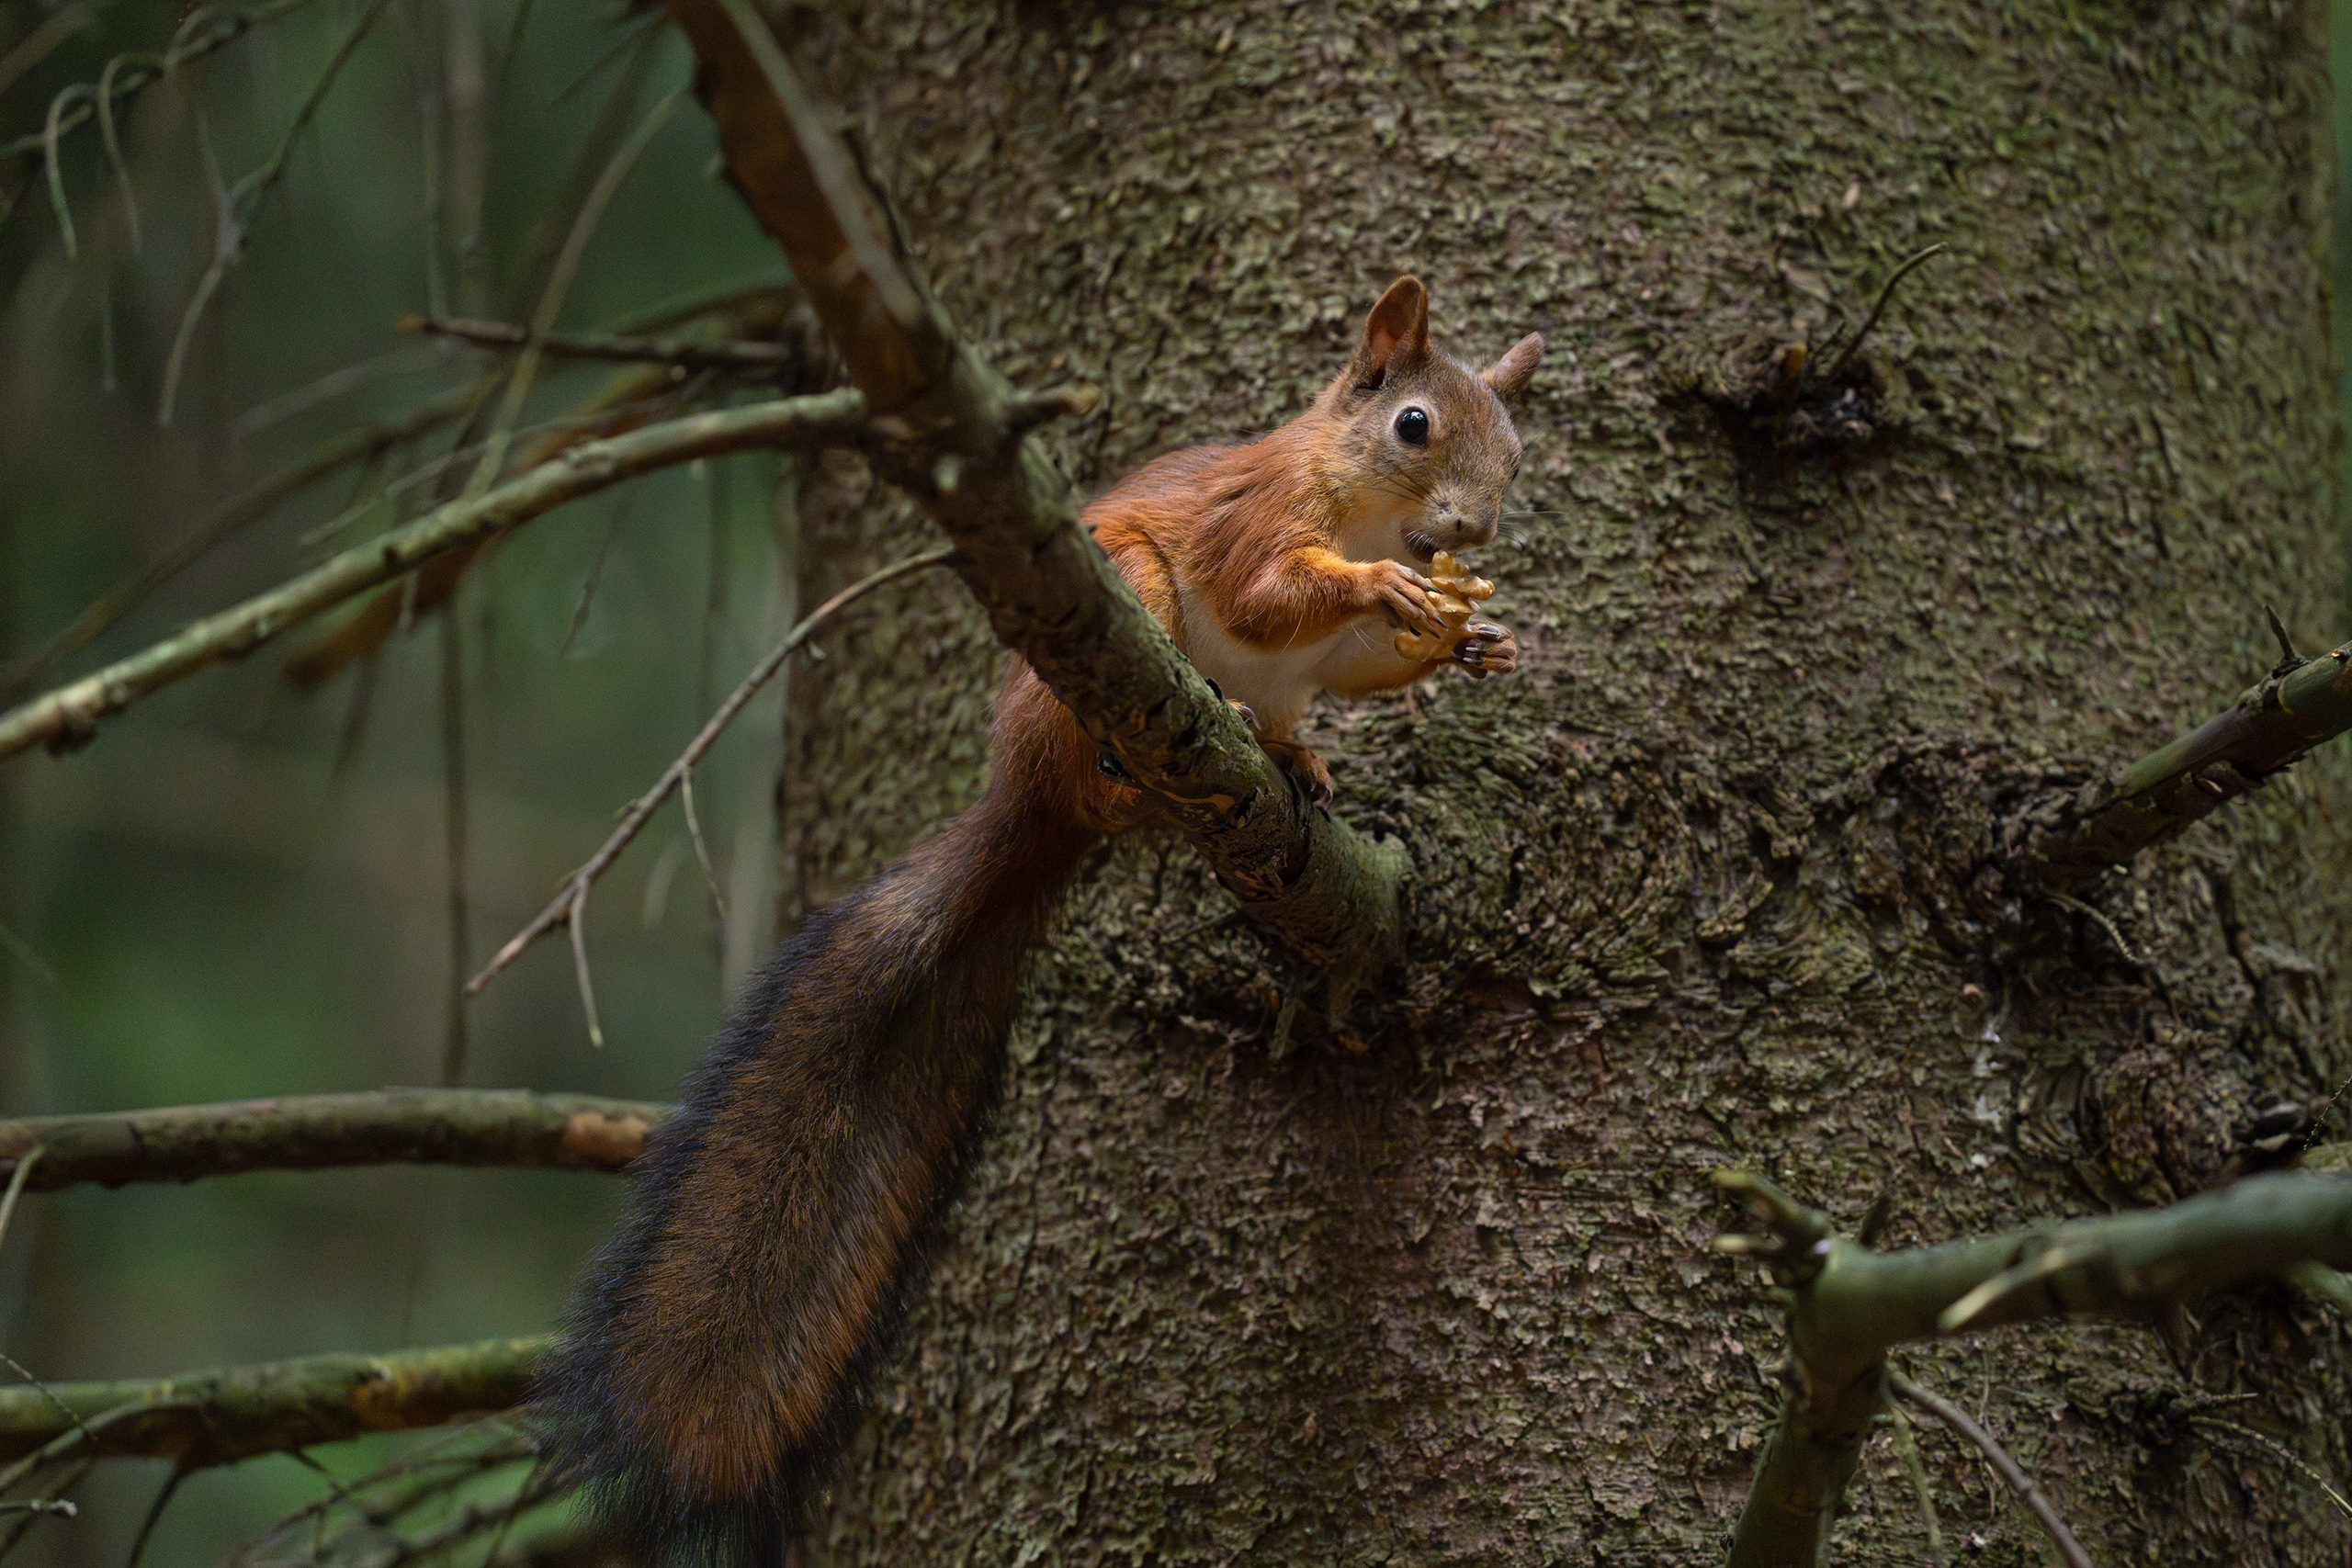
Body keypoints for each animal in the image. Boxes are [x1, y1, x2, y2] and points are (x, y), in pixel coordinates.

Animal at [537, 276, 1542, 1562]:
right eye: (1413, 426)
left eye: (1512, 449)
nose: (1473, 534)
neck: (1368, 515)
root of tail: (1024, 801)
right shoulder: (1255, 521)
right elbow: (1269, 595)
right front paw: (1398, 596)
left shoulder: (1347, 650)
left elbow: (1365, 660)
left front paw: (1475, 637)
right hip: (1117, 612)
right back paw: (1177, 756)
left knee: (1279, 716)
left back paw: (1296, 761)